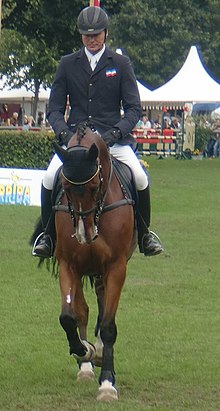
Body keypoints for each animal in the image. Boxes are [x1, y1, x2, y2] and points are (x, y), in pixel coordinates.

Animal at [41, 122, 138, 402]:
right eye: (64, 187)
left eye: (95, 187)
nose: (85, 235)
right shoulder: (68, 264)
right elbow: (68, 317)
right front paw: (83, 351)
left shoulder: (116, 266)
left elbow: (108, 326)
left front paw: (107, 383)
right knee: (83, 310)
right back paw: (86, 364)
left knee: (104, 308)